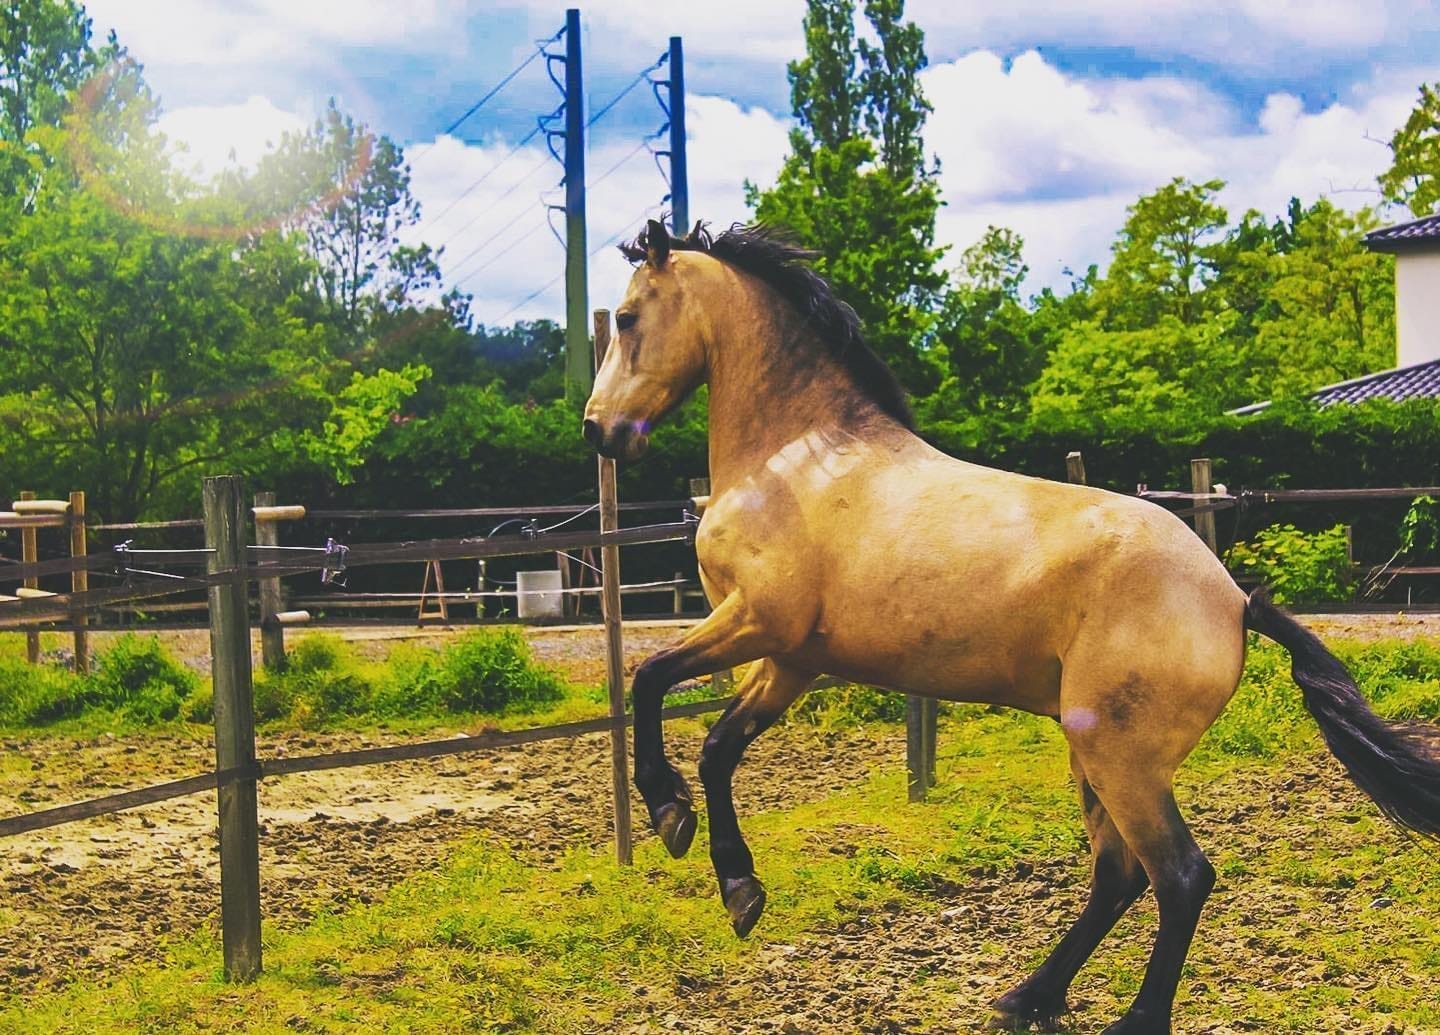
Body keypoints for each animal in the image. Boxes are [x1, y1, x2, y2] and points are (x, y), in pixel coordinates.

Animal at [581, 219, 1440, 1034]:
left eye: (624, 316)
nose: (597, 430)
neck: (795, 460)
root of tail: (1232, 597)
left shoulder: (756, 621)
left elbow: (648, 678)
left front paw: (666, 812)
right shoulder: (789, 659)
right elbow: (718, 746)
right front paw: (738, 886)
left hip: (1121, 760)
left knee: (1180, 875)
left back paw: (1130, 1016)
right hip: (1091, 752)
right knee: (1119, 876)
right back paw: (1028, 997)